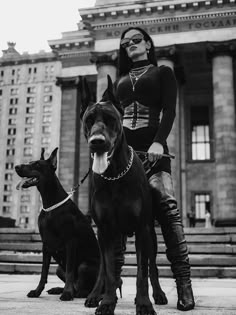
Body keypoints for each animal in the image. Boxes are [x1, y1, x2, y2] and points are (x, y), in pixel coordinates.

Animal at [14, 149, 99, 302]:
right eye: (30, 162)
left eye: (36, 164)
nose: (16, 167)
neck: (50, 203)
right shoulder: (46, 244)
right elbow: (43, 272)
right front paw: (37, 291)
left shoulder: (71, 242)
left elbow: (70, 270)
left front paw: (67, 294)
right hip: (59, 268)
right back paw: (58, 289)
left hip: (84, 265)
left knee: (86, 288)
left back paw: (77, 293)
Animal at [82, 76, 167, 315]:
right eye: (88, 120)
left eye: (110, 119)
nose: (97, 141)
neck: (114, 174)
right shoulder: (105, 230)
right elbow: (110, 271)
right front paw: (107, 302)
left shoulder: (142, 229)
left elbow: (142, 272)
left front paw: (144, 303)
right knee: (104, 266)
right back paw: (95, 295)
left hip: (151, 236)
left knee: (153, 267)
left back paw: (158, 294)